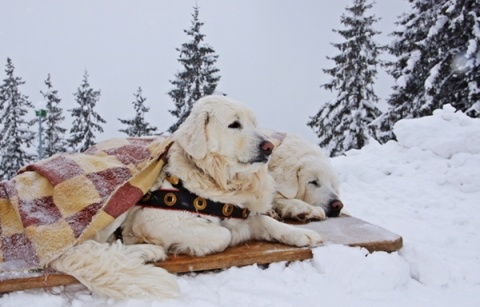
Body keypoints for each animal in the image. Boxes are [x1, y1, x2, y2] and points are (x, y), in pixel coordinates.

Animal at [49, 95, 322, 300]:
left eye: (255, 124)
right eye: (234, 125)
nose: (269, 147)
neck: (213, 178)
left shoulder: (237, 210)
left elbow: (265, 221)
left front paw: (300, 234)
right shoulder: (151, 219)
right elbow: (223, 234)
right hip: (109, 207)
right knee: (89, 249)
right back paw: (147, 250)